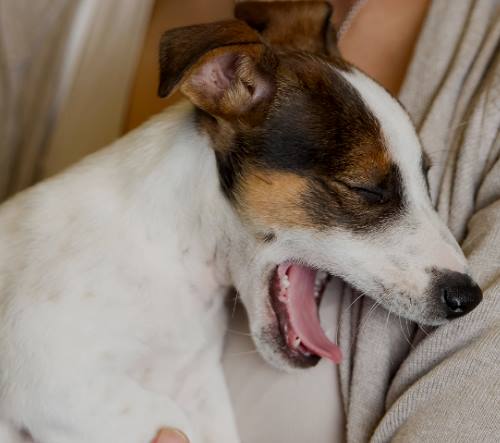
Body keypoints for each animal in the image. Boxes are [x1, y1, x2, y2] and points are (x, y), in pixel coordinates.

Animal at [0, 3, 484, 443]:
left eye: (426, 177)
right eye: (366, 189)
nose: (470, 298)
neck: (176, 254)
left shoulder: (195, 381)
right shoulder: (53, 378)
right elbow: (170, 419)